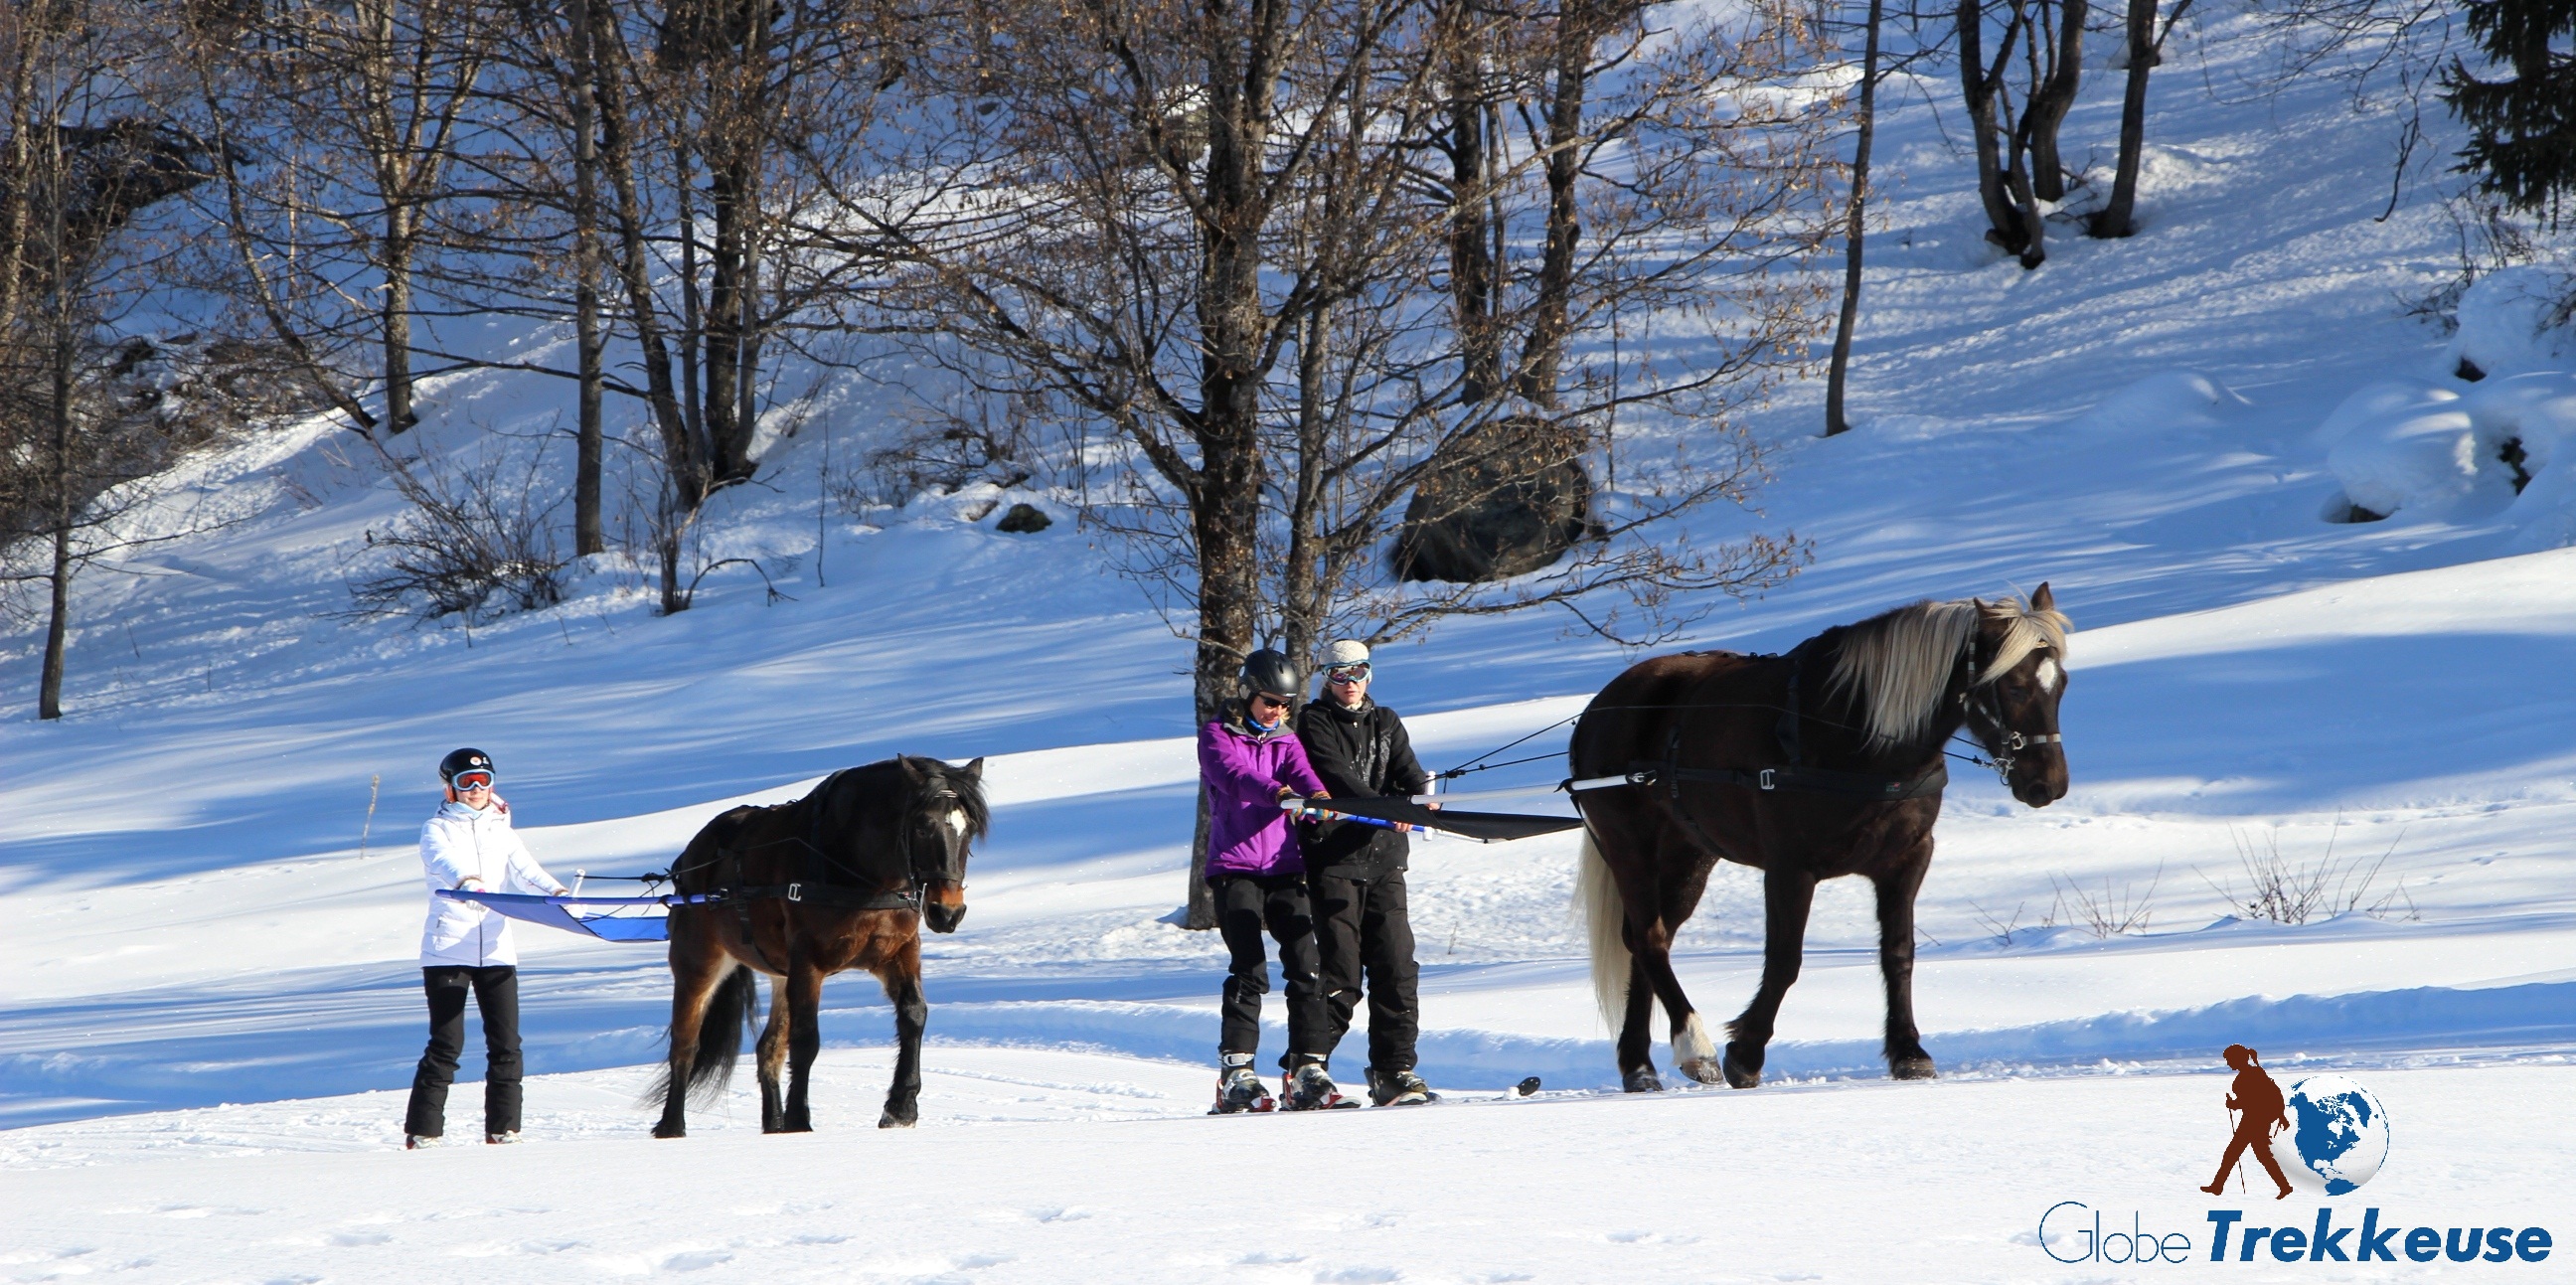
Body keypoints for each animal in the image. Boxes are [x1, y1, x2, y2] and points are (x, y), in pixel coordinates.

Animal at [654, 751, 984, 1138]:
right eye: (922, 826)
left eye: (969, 829)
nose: (947, 911)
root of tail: (689, 860)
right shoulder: (808, 962)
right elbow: (806, 1038)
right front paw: (800, 1119)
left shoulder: (898, 951)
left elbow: (914, 1015)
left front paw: (901, 1108)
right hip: (698, 962)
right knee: (685, 1045)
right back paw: (671, 1126)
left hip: (780, 974)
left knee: (768, 1050)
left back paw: (773, 1125)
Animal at [1565, 589, 2070, 1091]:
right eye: (2014, 686)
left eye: (2060, 683)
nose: (2049, 784)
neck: (1855, 733)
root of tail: (1601, 707)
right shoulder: (1790, 867)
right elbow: (1785, 960)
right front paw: (1746, 1052)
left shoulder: (1907, 859)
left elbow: (1898, 954)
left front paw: (1909, 1052)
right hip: (1628, 845)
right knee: (1649, 939)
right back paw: (1694, 1046)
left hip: (1687, 855)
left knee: (1645, 941)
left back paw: (1639, 1065)